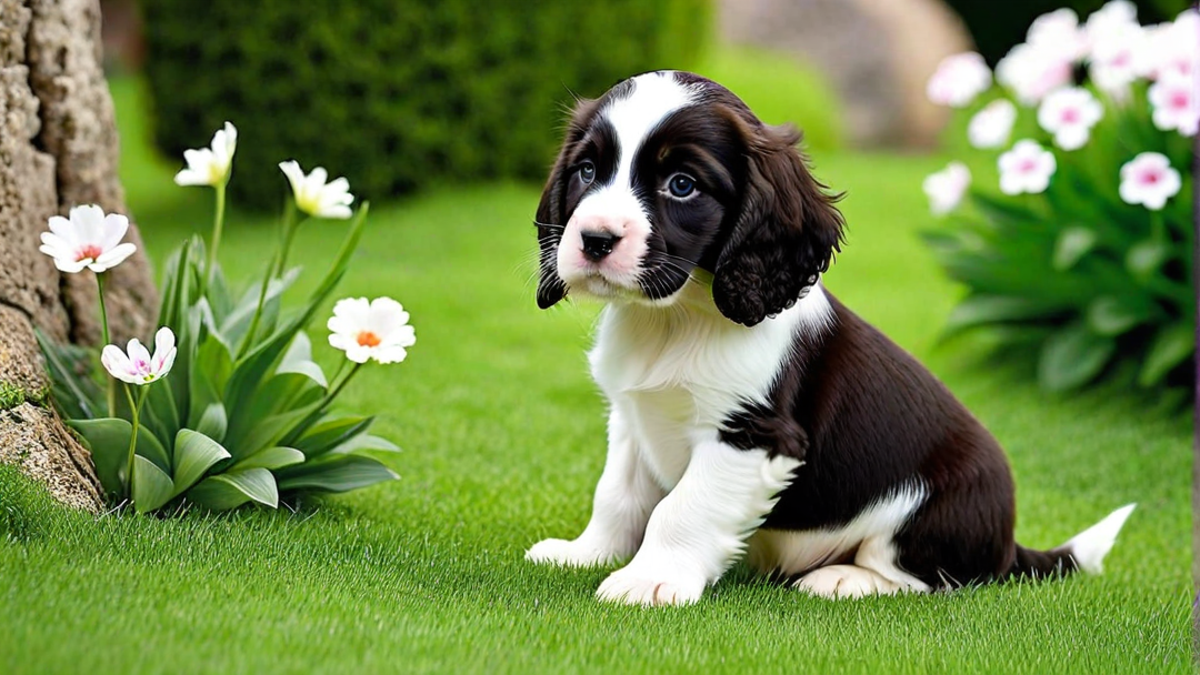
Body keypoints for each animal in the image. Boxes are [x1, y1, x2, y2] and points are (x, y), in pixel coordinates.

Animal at [528, 70, 1132, 600]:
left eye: (682, 186)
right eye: (587, 171)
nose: (595, 239)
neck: (672, 319)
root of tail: (1008, 543)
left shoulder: (753, 435)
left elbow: (682, 509)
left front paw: (650, 580)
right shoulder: (633, 418)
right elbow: (618, 495)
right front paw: (587, 554)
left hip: (928, 510)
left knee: (926, 577)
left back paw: (843, 579)